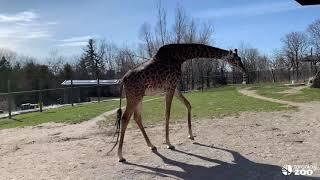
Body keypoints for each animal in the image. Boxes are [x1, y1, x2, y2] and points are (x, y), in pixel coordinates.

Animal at [111, 43, 246, 162]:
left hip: (139, 97)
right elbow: (167, 114)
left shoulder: (174, 87)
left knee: (137, 117)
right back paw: (120, 156)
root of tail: (123, 80)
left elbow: (188, 105)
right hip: (134, 96)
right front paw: (169, 144)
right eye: (236, 59)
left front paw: (191, 135)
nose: (244, 69)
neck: (181, 56)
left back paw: (151, 145)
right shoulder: (170, 86)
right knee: (125, 118)